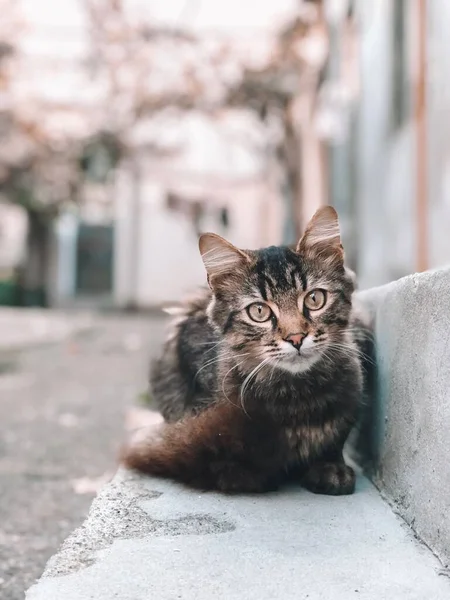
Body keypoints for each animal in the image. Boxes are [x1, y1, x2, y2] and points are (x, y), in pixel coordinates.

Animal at [123, 206, 372, 492]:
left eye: (314, 299)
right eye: (259, 312)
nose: (296, 338)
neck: (297, 396)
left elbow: (335, 439)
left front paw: (330, 467)